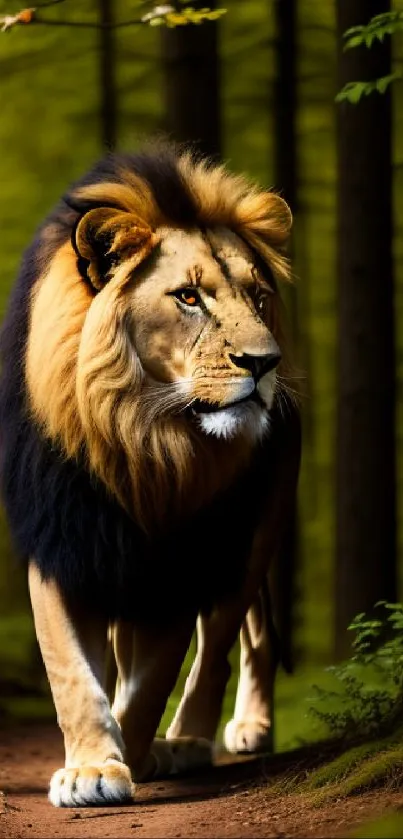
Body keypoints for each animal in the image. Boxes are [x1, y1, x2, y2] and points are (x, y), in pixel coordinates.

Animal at [0, 143, 300, 808]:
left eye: (258, 296)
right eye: (188, 297)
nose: (266, 363)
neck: (142, 437)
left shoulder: (180, 561)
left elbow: (151, 684)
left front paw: (132, 757)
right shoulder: (66, 541)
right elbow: (73, 673)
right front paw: (92, 765)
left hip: (253, 533)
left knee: (233, 643)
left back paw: (201, 738)